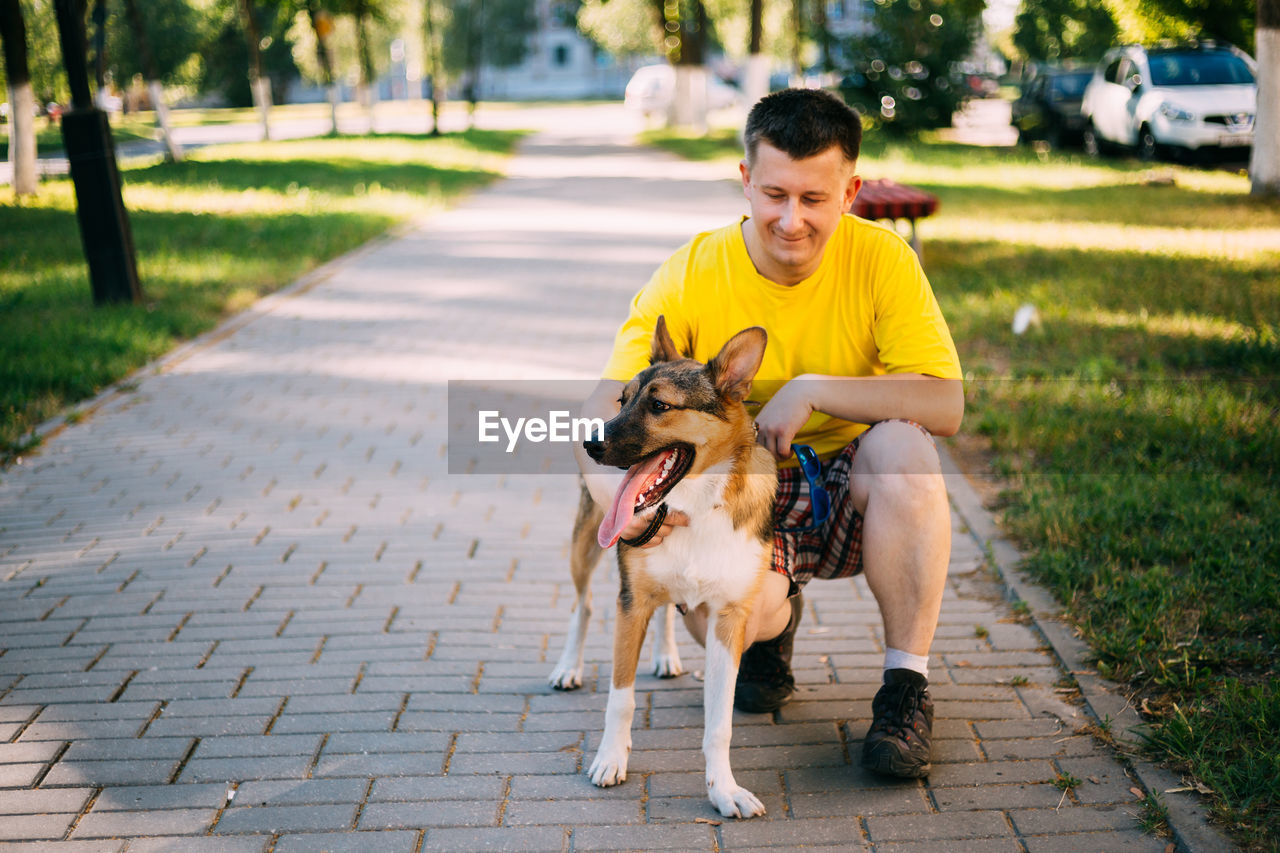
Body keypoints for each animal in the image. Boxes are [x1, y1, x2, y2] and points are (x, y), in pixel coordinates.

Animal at [545, 313, 773, 819]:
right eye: (621, 399)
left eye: (660, 405)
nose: (588, 442)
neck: (694, 507)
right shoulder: (631, 604)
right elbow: (620, 700)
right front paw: (610, 760)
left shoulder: (730, 619)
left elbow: (720, 723)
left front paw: (723, 789)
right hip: (583, 546)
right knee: (583, 605)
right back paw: (568, 666)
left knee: (667, 607)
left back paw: (665, 653)